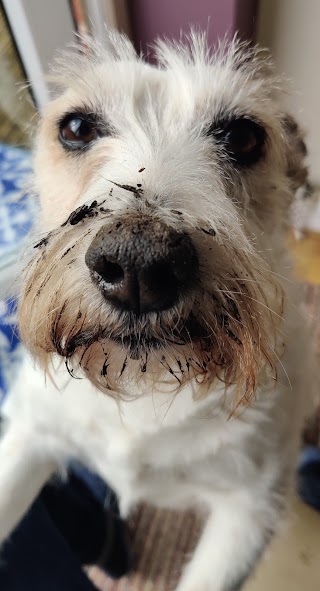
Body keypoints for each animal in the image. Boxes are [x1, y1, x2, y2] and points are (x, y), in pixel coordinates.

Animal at [0, 32, 312, 591]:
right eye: (76, 128)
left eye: (243, 136)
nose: (138, 266)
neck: (144, 388)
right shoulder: (32, 434)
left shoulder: (248, 513)